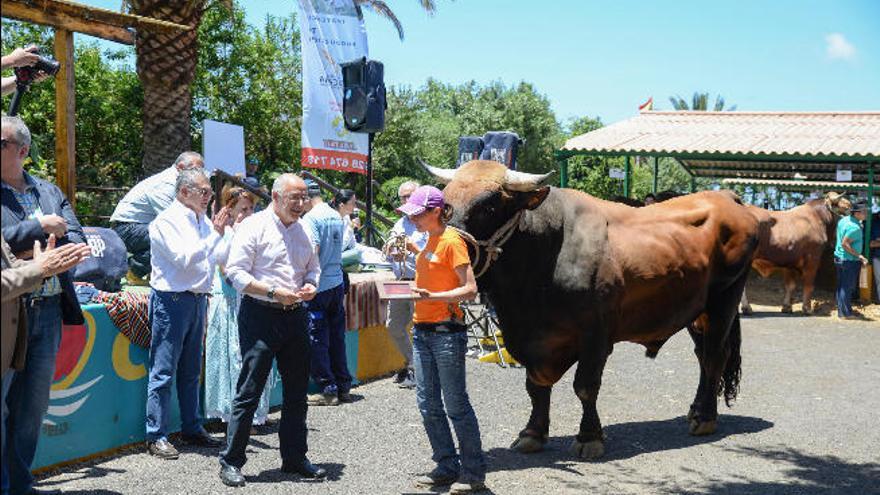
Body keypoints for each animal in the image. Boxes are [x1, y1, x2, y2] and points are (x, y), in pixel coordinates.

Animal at [426, 162, 756, 462]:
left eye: (490, 205)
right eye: (445, 201)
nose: (443, 252)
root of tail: (727, 197)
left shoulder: (596, 334)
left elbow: (585, 386)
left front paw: (589, 437)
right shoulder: (534, 341)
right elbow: (535, 387)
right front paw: (532, 433)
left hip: (724, 300)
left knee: (714, 355)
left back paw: (705, 417)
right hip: (695, 311)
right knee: (702, 355)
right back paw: (695, 409)